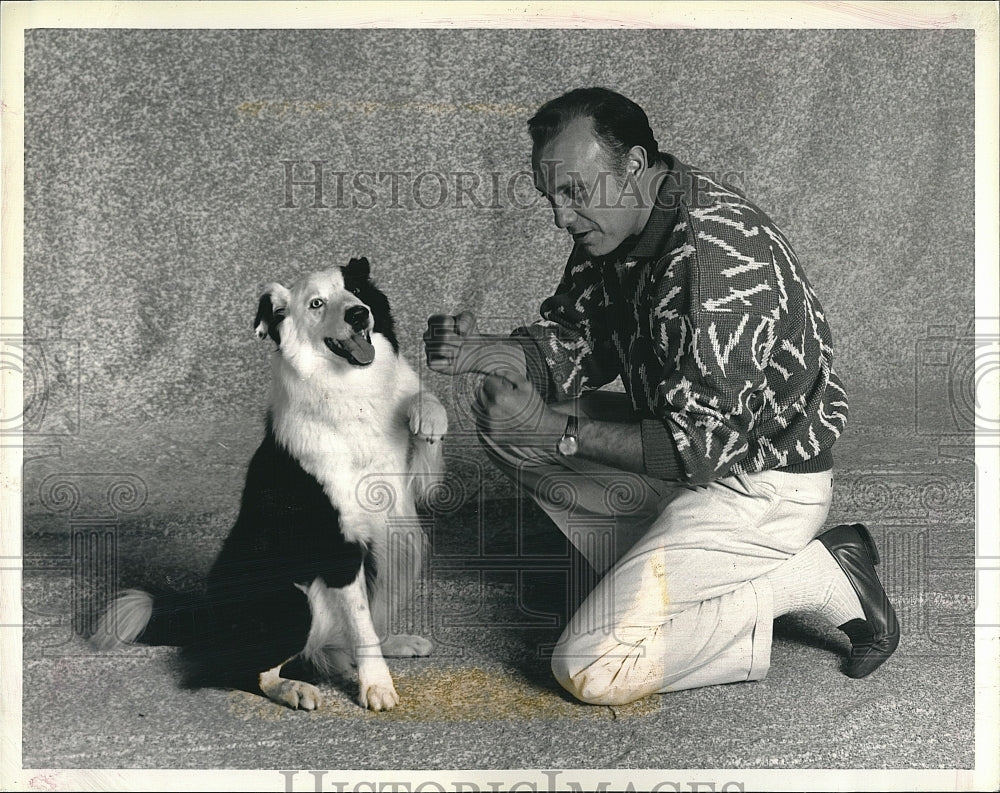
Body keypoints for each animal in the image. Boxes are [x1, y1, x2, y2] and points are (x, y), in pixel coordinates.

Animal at [95, 258, 448, 712]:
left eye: (355, 290)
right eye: (317, 303)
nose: (358, 314)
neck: (351, 390)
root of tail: (207, 613)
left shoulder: (409, 491)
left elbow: (424, 416)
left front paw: (429, 416)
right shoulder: (336, 544)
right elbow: (361, 625)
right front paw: (376, 686)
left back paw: (394, 643)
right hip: (292, 600)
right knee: (243, 670)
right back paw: (294, 688)